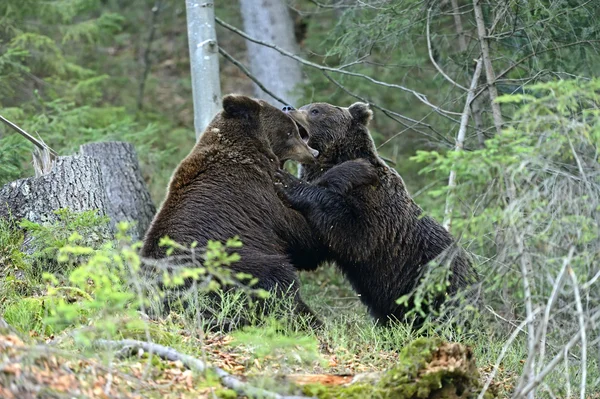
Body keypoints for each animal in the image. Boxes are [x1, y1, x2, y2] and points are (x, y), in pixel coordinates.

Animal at [142, 95, 324, 326]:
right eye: (290, 132)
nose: (314, 153)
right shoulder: (259, 195)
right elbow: (299, 233)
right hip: (231, 265)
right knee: (278, 280)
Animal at [276, 101, 478, 326]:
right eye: (306, 106)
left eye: (315, 110)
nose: (287, 108)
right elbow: (310, 248)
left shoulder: (374, 203)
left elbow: (354, 234)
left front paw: (290, 183)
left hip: (437, 281)